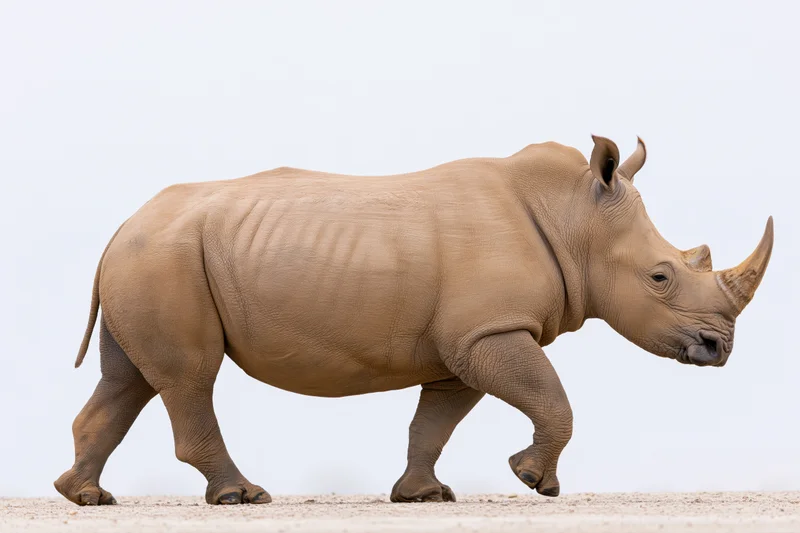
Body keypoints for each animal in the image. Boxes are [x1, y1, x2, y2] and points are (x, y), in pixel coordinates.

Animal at [55, 135, 773, 506]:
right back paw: (242, 497)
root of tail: (121, 226)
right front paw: (534, 482)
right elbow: (553, 399)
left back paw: (85, 497)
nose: (718, 348)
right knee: (188, 377)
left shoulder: (466, 341)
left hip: (152, 256)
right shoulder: (491, 330)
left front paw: (423, 495)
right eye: (661, 276)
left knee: (129, 379)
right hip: (163, 257)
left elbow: (435, 422)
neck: (575, 218)